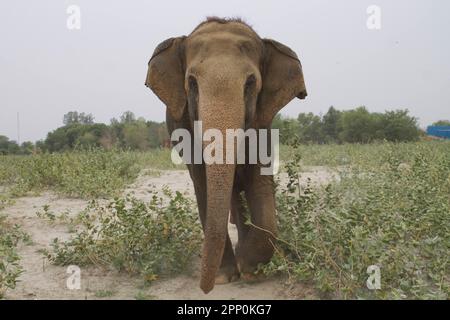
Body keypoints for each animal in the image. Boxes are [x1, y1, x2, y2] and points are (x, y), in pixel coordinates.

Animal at [146, 16, 308, 292]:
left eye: (250, 83)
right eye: (192, 83)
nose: (205, 287)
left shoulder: (262, 124)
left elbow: (259, 182)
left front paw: (251, 269)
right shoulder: (185, 125)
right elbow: (203, 182)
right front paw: (226, 276)